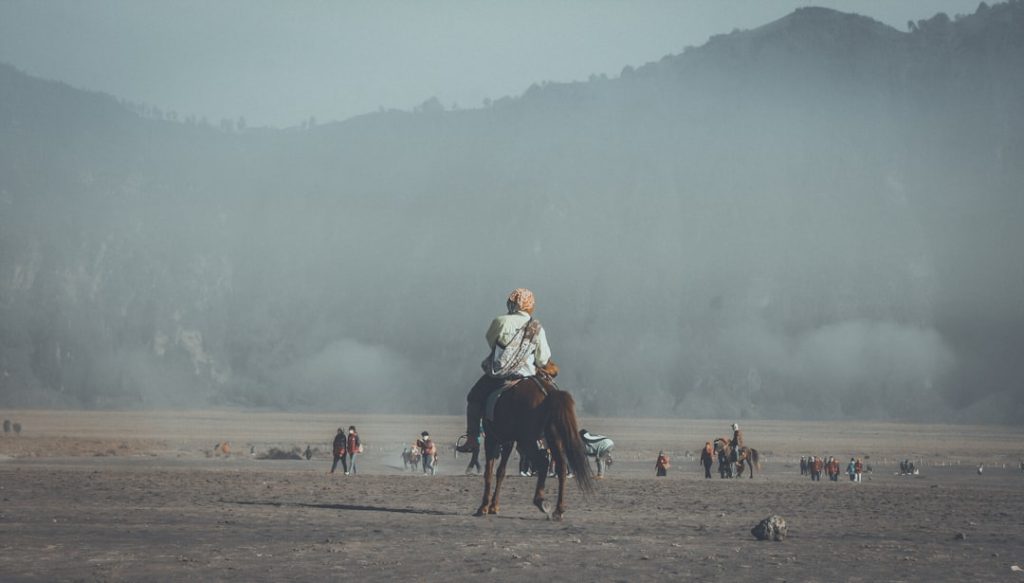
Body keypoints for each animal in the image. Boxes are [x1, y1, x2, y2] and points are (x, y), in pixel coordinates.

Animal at [475, 377, 593, 520]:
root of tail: (548, 392)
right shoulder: (508, 441)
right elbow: (500, 472)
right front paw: (493, 506)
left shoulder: (491, 438)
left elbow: (489, 472)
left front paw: (484, 507)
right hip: (553, 437)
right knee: (561, 466)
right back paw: (558, 510)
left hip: (528, 440)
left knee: (543, 463)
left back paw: (540, 501)